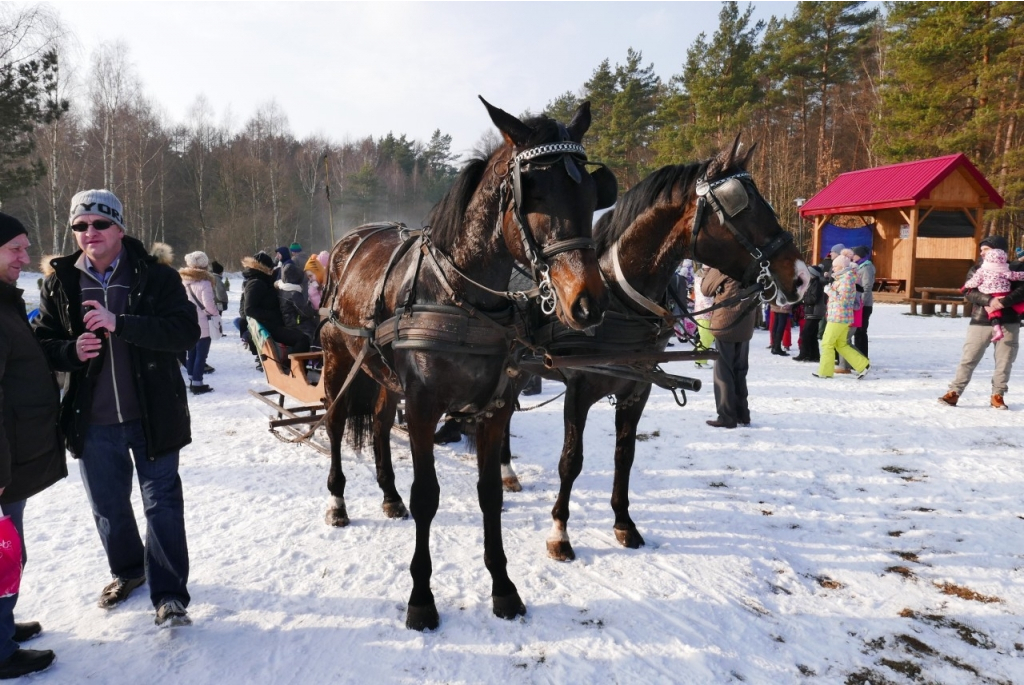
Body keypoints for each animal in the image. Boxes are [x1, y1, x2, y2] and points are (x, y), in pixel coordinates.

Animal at [317, 97, 614, 630]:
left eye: (589, 192)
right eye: (534, 194)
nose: (588, 303)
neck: (460, 297)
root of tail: (349, 242)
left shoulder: (493, 410)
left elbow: (490, 493)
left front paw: (504, 587)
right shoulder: (421, 409)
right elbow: (427, 497)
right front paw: (421, 597)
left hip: (384, 378)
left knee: (378, 424)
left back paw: (388, 495)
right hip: (337, 362)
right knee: (333, 423)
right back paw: (337, 501)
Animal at [499, 139, 811, 561]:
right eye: (741, 209)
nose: (803, 277)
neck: (619, 301)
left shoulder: (638, 389)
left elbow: (625, 455)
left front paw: (624, 524)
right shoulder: (579, 389)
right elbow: (571, 461)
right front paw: (559, 532)